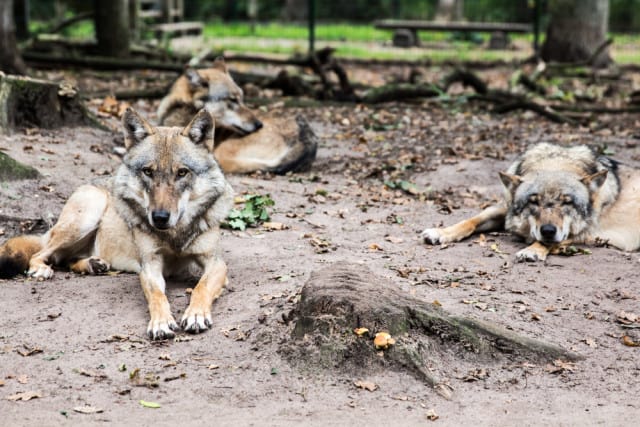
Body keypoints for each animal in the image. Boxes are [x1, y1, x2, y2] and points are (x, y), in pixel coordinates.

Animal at [0, 108, 235, 342]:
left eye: (182, 172)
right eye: (148, 172)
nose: (159, 217)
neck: (174, 235)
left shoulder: (215, 262)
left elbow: (201, 287)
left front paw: (196, 315)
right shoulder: (150, 265)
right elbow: (157, 295)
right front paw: (160, 323)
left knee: (66, 260)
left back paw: (92, 264)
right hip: (87, 217)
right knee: (41, 255)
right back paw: (43, 269)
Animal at [420, 144, 640, 262]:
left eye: (566, 203)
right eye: (534, 202)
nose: (548, 230)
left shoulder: (587, 233)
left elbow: (549, 242)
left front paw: (532, 251)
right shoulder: (505, 210)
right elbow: (471, 221)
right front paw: (441, 232)